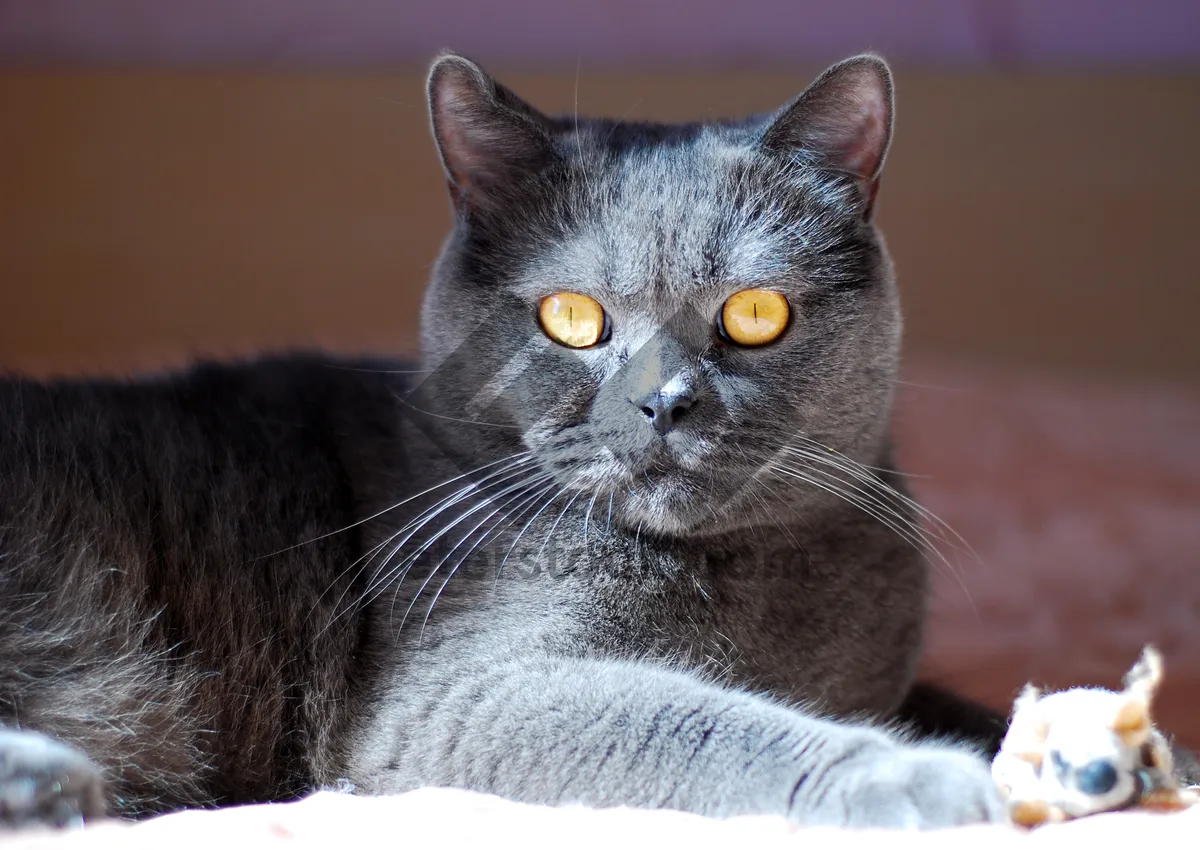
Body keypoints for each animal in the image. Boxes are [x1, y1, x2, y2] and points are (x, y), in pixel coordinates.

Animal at [0, 53, 1012, 830]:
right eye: (572, 317)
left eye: (756, 313)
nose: (664, 402)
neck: (746, 586)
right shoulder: (461, 691)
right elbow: (696, 720)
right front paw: (923, 777)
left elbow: (973, 706)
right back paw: (54, 786)